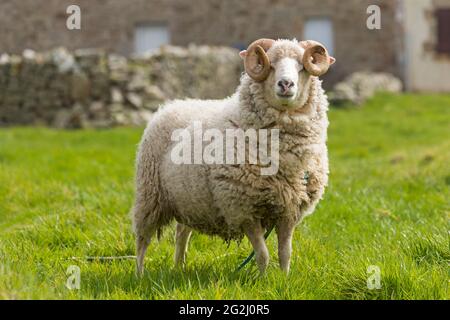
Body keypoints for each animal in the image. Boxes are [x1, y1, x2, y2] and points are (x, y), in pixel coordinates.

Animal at [132, 38, 336, 276]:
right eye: (271, 65)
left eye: (302, 67)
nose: (286, 84)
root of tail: (171, 105)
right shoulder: (243, 209)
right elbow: (263, 254)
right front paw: (264, 279)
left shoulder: (289, 210)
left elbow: (285, 253)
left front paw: (284, 278)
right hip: (150, 194)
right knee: (142, 239)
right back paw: (140, 275)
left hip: (189, 200)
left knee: (182, 232)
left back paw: (179, 266)